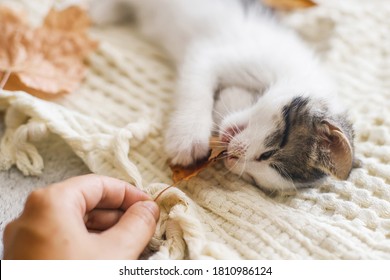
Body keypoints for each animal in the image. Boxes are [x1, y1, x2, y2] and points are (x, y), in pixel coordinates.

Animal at [90, 0, 354, 192]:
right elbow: (197, 83)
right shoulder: (216, 54)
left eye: (255, 180)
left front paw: (229, 99)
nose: (233, 159)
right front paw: (187, 136)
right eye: (267, 154)